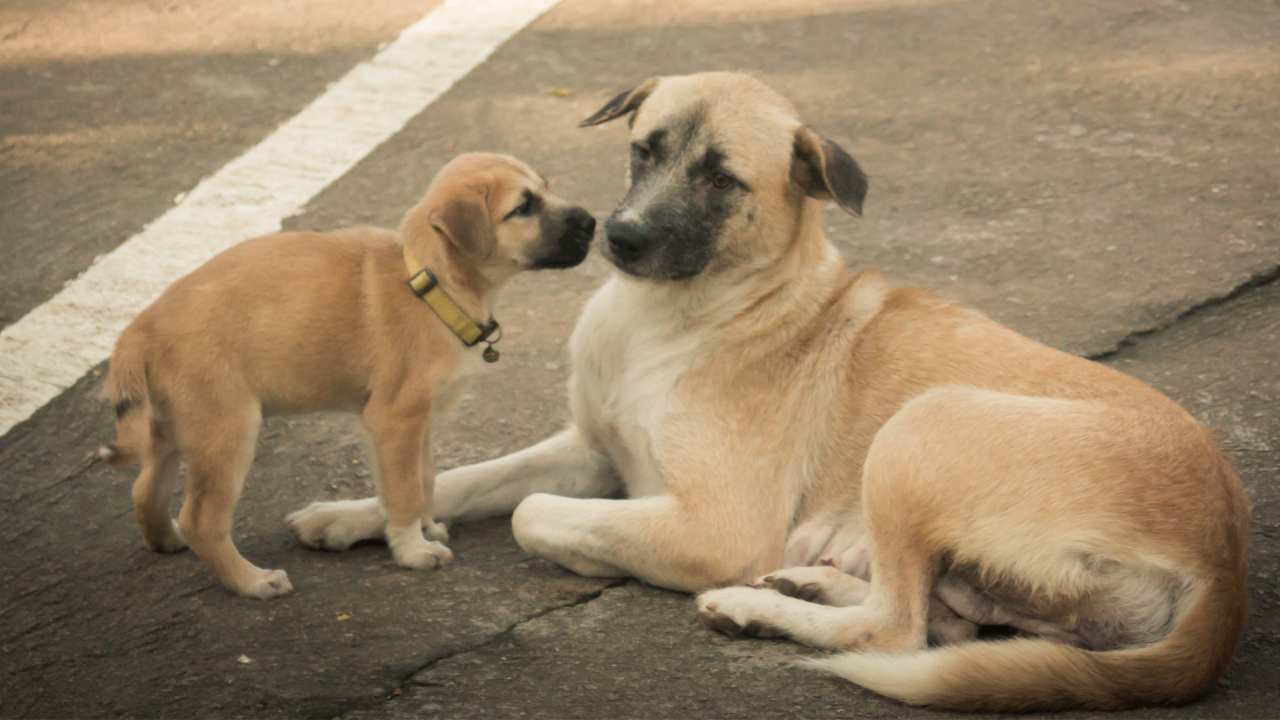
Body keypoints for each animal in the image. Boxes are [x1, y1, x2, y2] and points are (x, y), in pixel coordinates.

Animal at [98, 154, 593, 597]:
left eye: (546, 188)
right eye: (524, 207)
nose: (591, 221)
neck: (430, 282)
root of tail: (141, 327)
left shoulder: (415, 423)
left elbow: (423, 480)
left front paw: (426, 527)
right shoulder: (395, 419)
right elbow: (404, 492)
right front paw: (413, 551)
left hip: (174, 427)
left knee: (144, 488)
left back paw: (166, 540)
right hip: (227, 431)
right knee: (202, 520)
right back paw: (252, 581)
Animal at [294, 73, 1244, 707]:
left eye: (722, 179)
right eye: (643, 150)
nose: (617, 237)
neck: (684, 312)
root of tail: (1225, 557)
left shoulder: (712, 523)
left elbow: (531, 515)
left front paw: (584, 554)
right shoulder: (590, 449)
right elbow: (454, 478)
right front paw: (354, 516)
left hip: (920, 427)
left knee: (896, 629)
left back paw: (756, 606)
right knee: (943, 621)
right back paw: (803, 585)